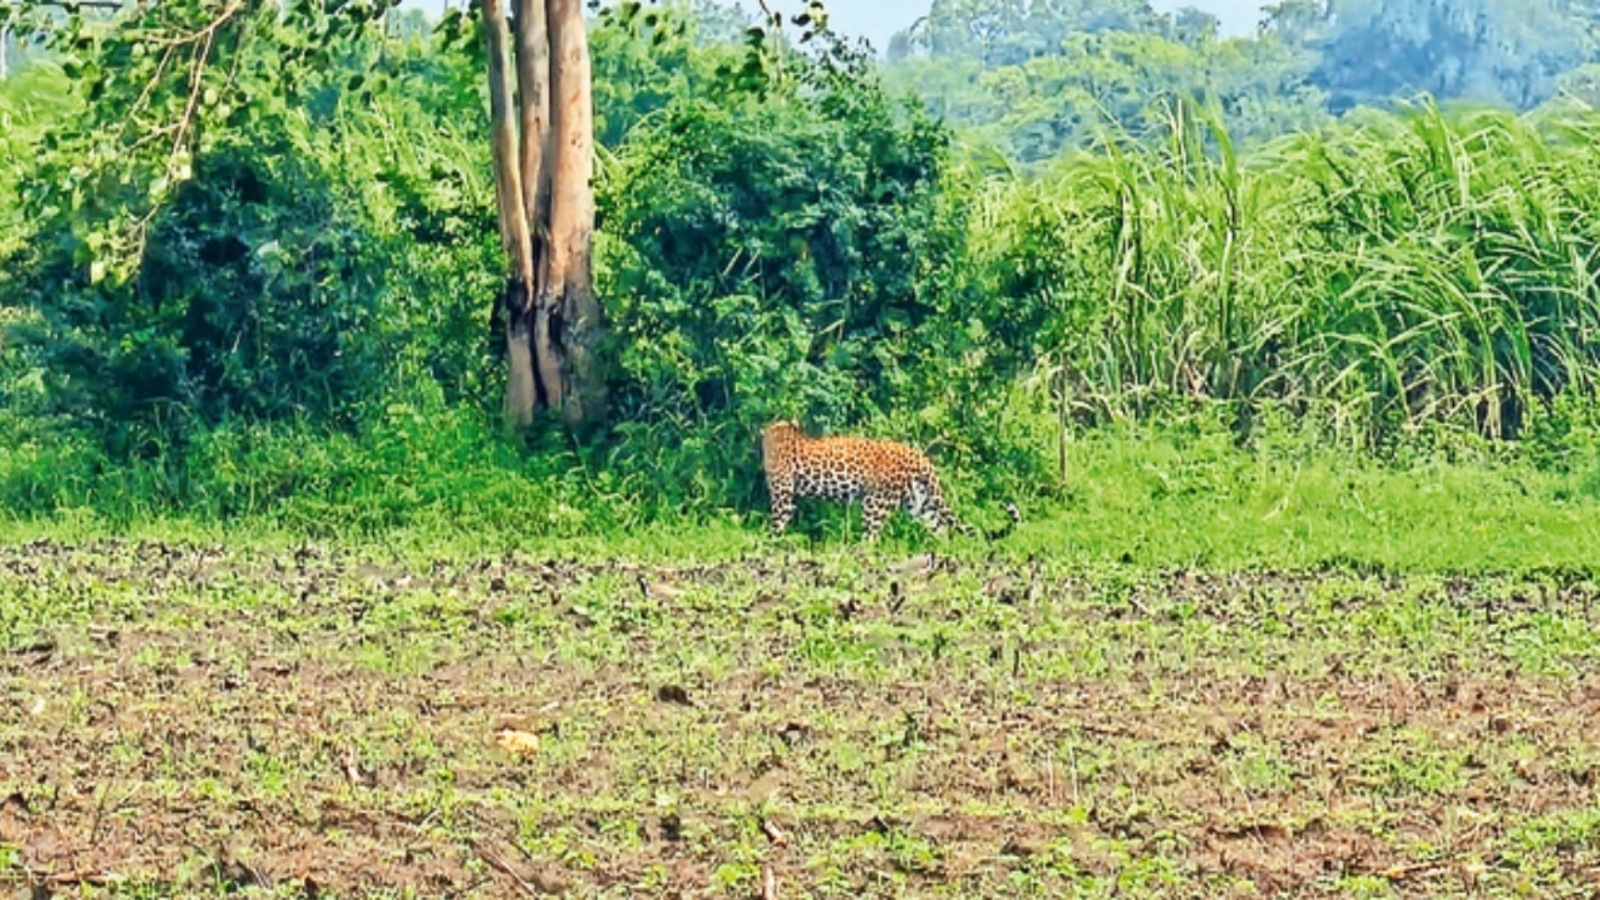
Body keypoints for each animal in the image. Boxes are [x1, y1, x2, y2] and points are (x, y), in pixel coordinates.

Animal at [759, 420, 1021, 542]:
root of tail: (916, 455)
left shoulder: (782, 496)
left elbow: (776, 524)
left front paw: (769, 546)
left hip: (876, 503)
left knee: (871, 537)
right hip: (918, 503)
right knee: (941, 528)